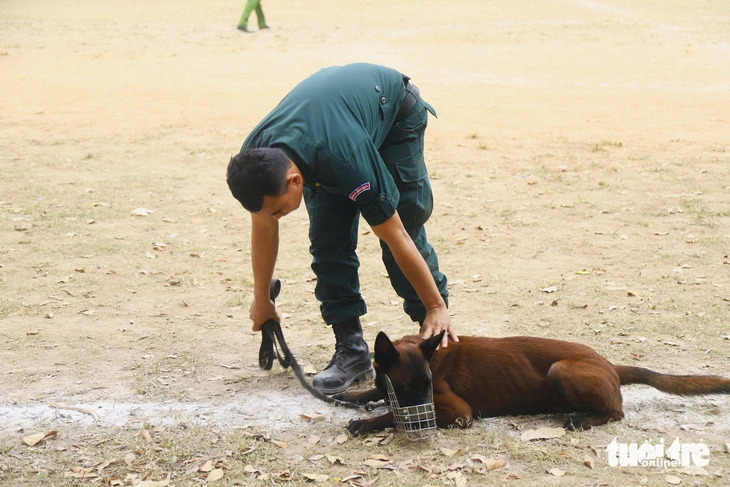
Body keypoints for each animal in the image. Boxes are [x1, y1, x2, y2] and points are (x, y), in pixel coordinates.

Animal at [336, 330, 728, 436]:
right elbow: (374, 391)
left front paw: (366, 423)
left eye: (426, 388)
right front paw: (350, 395)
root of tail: (610, 365)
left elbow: (394, 414)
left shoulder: (459, 412)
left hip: (561, 370)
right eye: (405, 389)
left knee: (616, 412)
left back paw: (581, 419)